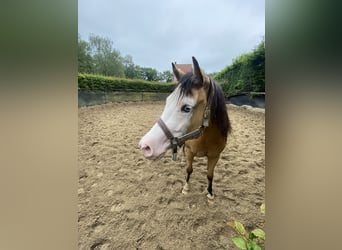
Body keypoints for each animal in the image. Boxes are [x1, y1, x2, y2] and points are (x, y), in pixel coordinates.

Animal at [139, 57, 232, 199]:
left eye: (187, 108)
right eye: (167, 101)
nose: (146, 146)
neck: (206, 138)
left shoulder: (215, 156)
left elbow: (210, 175)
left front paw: (210, 193)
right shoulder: (190, 152)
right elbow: (189, 169)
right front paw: (186, 188)